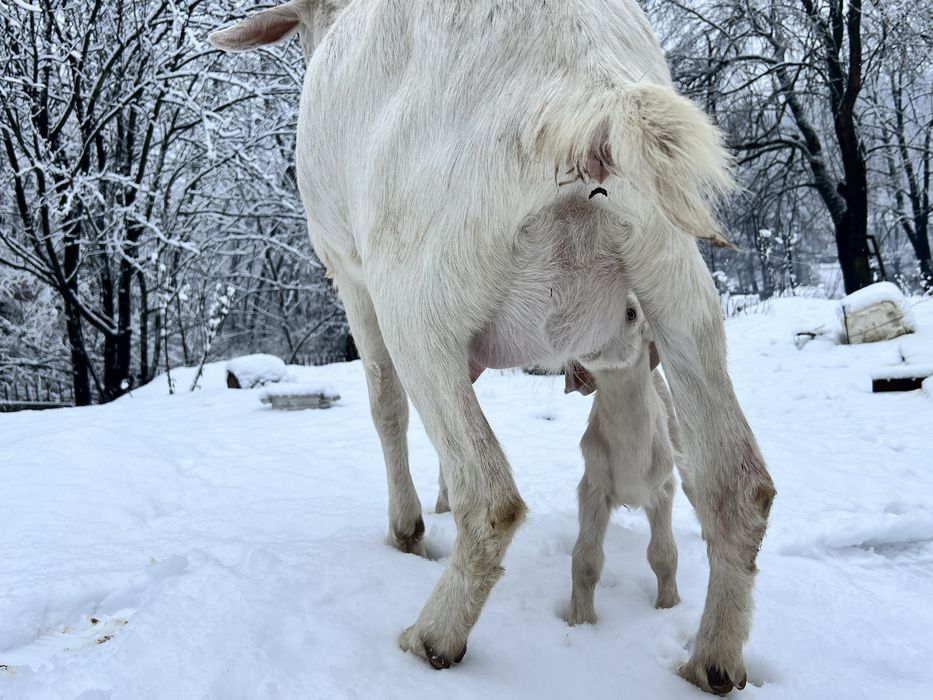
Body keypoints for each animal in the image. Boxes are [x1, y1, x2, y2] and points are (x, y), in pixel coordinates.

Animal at [209, 1, 775, 693]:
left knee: (491, 496)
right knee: (740, 484)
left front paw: (409, 528)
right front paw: (435, 501)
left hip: (417, 288)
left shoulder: (350, 272)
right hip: (672, 272)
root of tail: (587, 83)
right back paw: (711, 662)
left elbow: (384, 403)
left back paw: (433, 635)